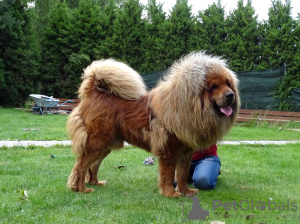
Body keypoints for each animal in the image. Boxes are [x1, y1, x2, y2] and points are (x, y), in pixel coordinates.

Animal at [67, 51, 240, 197]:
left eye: (228, 83)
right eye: (214, 86)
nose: (231, 95)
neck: (188, 106)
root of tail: (95, 92)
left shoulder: (186, 151)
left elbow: (182, 174)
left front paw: (186, 191)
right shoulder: (169, 149)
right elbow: (168, 175)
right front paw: (171, 194)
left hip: (106, 144)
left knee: (93, 165)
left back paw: (96, 183)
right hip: (98, 142)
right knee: (81, 165)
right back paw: (81, 189)